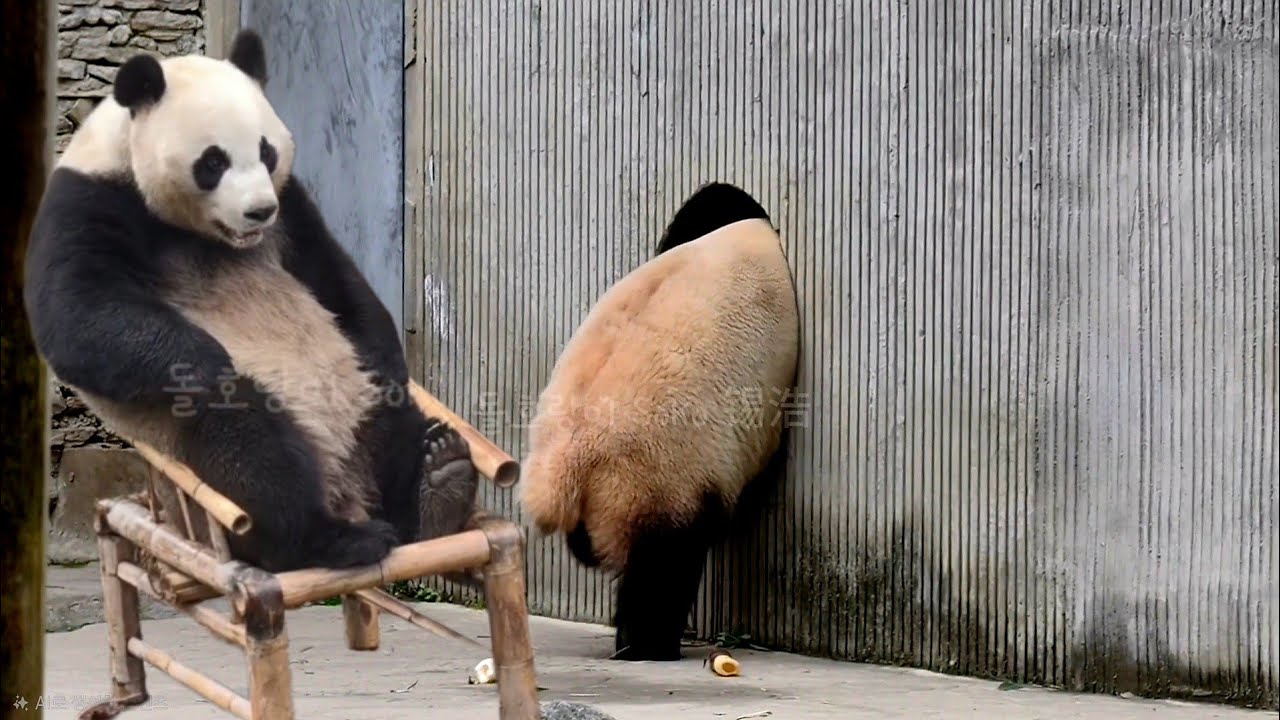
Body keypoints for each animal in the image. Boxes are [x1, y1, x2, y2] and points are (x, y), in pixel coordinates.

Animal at [23, 30, 480, 573]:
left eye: (266, 152)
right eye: (213, 162)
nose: (259, 210)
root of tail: (346, 489)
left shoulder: (292, 210)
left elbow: (333, 274)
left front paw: (387, 356)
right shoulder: (87, 200)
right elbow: (75, 313)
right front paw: (206, 363)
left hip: (355, 396)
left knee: (390, 415)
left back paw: (437, 485)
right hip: (197, 446)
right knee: (251, 449)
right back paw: (335, 539)